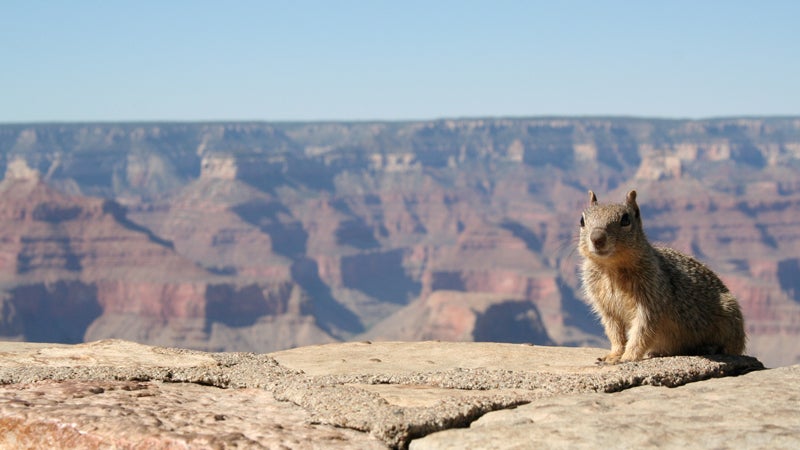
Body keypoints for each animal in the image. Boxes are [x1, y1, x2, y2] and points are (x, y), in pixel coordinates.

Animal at [580, 188, 748, 364]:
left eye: (625, 220)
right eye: (582, 221)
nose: (597, 238)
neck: (611, 268)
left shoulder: (651, 298)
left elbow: (642, 330)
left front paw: (628, 356)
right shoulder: (606, 308)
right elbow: (615, 332)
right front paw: (613, 355)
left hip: (730, 319)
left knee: (731, 347)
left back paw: (708, 348)